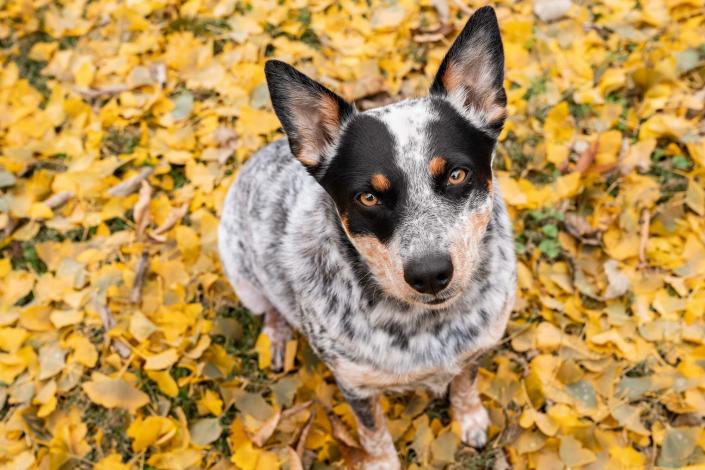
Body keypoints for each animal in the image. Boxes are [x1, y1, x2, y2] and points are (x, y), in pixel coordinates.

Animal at [220, 5, 516, 468]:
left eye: (456, 174)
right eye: (369, 196)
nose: (430, 274)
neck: (428, 327)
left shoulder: (476, 347)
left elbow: (465, 382)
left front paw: (468, 417)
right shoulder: (355, 384)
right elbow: (373, 431)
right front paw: (382, 460)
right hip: (241, 273)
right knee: (268, 307)